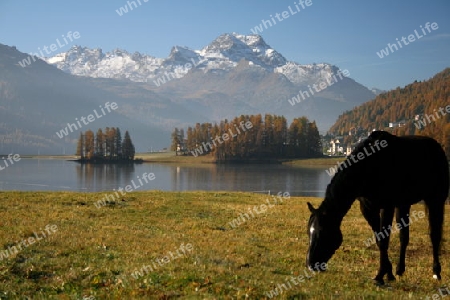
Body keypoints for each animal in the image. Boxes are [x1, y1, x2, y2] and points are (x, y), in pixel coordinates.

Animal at [308, 130, 448, 284]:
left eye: (323, 232)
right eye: (309, 232)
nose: (311, 264)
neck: (369, 167)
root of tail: (437, 146)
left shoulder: (387, 207)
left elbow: (384, 240)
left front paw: (380, 276)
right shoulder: (368, 209)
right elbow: (379, 240)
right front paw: (388, 273)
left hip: (435, 200)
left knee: (434, 235)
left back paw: (436, 272)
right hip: (403, 205)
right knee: (404, 236)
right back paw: (400, 269)